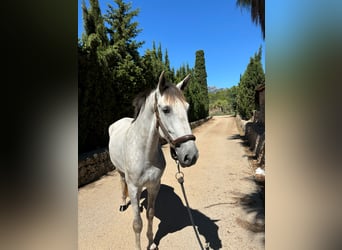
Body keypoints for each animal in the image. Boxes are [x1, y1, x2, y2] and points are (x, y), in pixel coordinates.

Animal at [108, 71, 199, 249]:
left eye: (187, 108)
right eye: (166, 109)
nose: (190, 155)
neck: (144, 153)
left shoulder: (154, 186)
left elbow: (150, 214)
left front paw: (151, 243)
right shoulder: (134, 187)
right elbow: (137, 224)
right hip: (120, 171)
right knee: (122, 183)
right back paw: (123, 203)